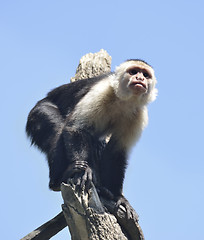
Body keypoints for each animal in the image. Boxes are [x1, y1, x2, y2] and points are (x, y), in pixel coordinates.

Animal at [25, 60, 156, 210]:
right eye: (133, 71)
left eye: (145, 75)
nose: (140, 78)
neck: (123, 101)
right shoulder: (101, 91)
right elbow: (76, 128)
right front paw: (85, 170)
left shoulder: (139, 114)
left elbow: (116, 152)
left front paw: (118, 196)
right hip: (38, 112)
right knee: (57, 128)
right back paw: (59, 179)